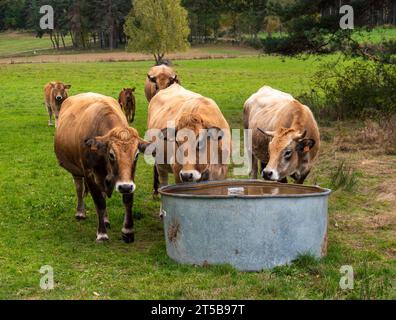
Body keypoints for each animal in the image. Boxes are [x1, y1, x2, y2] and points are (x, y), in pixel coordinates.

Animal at [54, 92, 150, 242]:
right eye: (111, 154)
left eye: (136, 155)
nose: (124, 187)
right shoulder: (89, 173)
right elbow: (99, 202)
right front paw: (102, 233)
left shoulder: (128, 178)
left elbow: (127, 200)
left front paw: (128, 231)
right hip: (77, 170)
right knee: (79, 187)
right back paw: (80, 212)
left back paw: (105, 219)